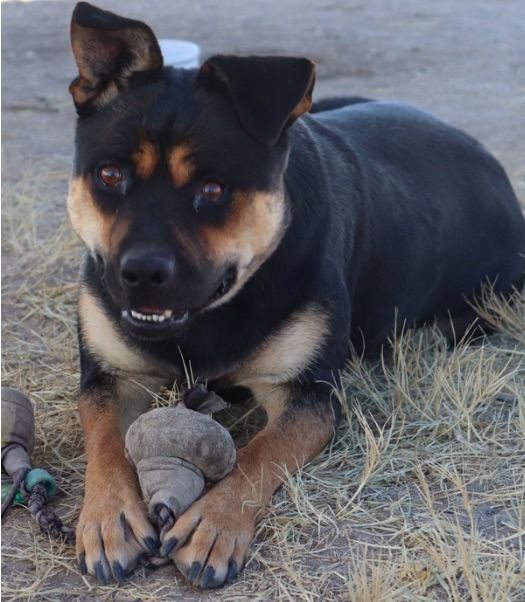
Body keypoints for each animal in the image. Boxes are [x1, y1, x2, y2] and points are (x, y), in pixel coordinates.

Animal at [68, 2, 524, 588]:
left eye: (213, 189)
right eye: (108, 175)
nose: (141, 273)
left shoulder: (310, 394)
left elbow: (262, 452)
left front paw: (214, 525)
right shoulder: (109, 374)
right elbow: (103, 439)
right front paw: (108, 518)